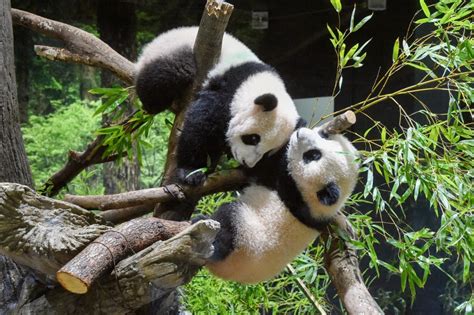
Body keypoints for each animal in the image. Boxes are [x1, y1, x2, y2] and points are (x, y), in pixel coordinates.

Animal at [134, 27, 300, 185]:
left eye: (267, 152)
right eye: (253, 139)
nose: (247, 162)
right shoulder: (228, 89)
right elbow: (201, 124)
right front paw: (192, 171)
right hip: (171, 50)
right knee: (169, 73)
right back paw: (154, 104)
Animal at [201, 127, 360, 286]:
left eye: (313, 155)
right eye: (324, 136)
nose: (300, 133)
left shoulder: (288, 187)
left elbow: (262, 168)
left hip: (244, 237)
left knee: (226, 225)